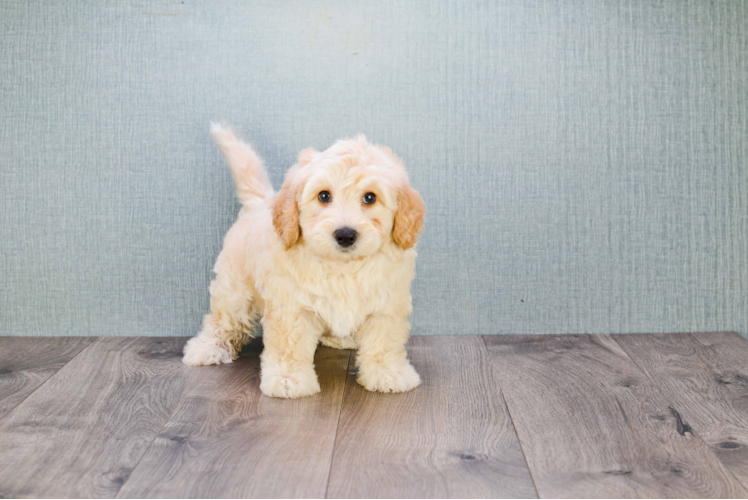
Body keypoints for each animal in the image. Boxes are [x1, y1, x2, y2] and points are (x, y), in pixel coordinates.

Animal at [183, 125, 424, 398]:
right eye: (324, 196)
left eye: (370, 198)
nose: (345, 235)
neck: (343, 266)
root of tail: (259, 203)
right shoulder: (290, 306)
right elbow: (290, 345)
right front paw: (289, 380)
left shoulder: (386, 304)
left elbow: (384, 341)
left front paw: (388, 373)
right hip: (234, 288)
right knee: (223, 320)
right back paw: (207, 347)